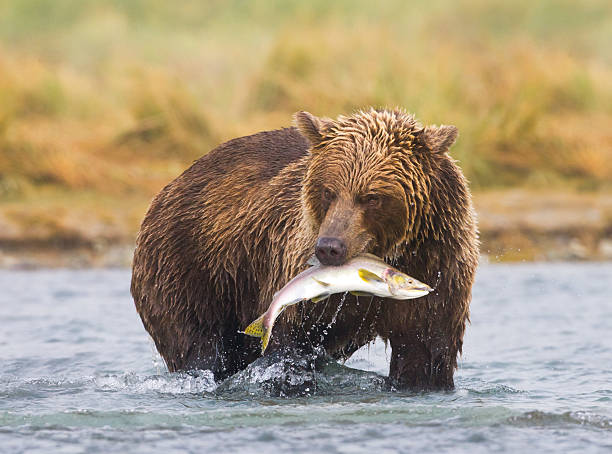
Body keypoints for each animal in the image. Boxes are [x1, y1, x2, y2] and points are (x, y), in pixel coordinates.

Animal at [131, 108, 480, 388]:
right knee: (198, 346)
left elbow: (426, 353)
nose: (329, 247)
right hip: (191, 267)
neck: (392, 252)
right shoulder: (291, 264)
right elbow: (288, 344)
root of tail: (169, 187)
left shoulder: (440, 267)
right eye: (329, 191)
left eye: (372, 197)